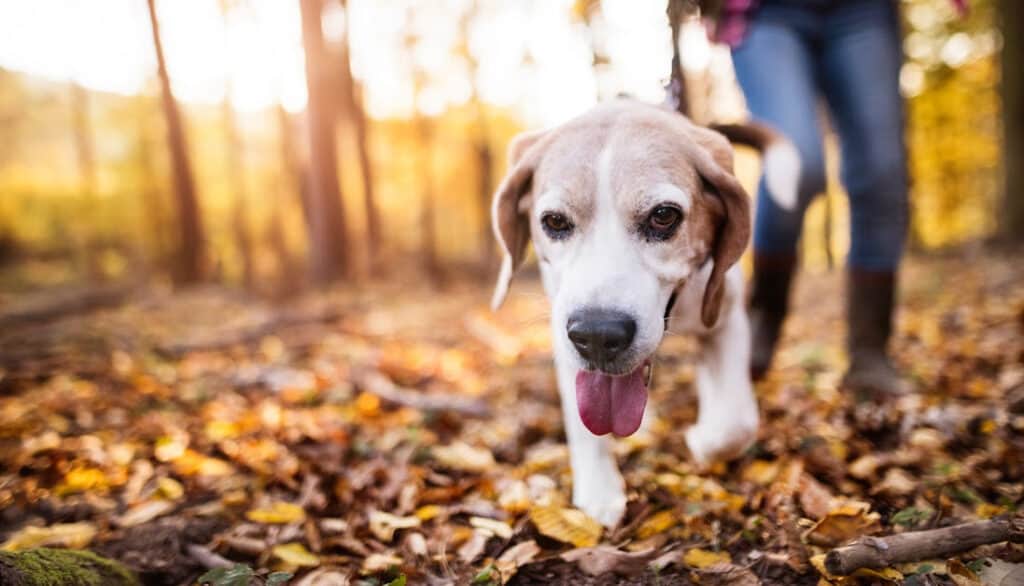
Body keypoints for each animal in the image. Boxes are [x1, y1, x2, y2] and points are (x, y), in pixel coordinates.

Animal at [489, 99, 798, 524]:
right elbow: (584, 425)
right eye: (554, 221)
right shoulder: (563, 336)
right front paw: (600, 492)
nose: (598, 335)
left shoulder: (725, 317)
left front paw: (703, 440)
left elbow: (736, 423)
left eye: (663, 216)